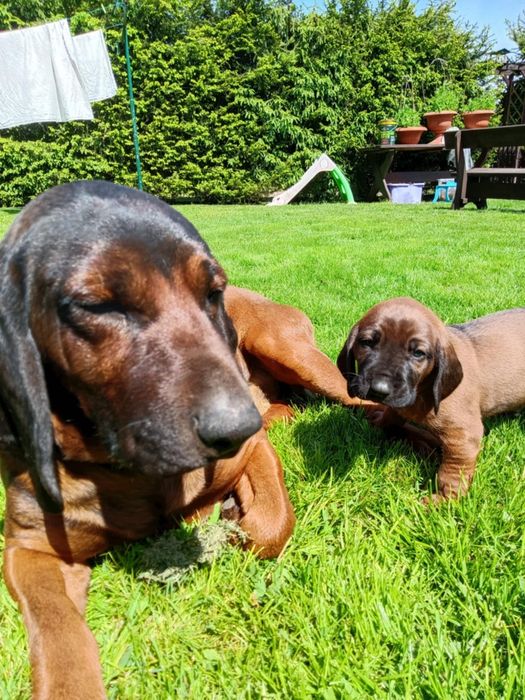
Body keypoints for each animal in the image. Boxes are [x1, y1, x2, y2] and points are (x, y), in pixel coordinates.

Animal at [0, 180, 367, 699]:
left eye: (213, 293)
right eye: (98, 306)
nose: (234, 425)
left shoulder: (252, 452)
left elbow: (269, 525)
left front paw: (226, 516)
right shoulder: (29, 548)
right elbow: (58, 634)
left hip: (290, 353)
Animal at [337, 297, 525, 501]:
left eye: (418, 353)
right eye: (366, 342)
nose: (379, 390)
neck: (423, 390)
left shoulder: (464, 436)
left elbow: (452, 471)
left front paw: (445, 498)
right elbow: (392, 417)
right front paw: (383, 420)